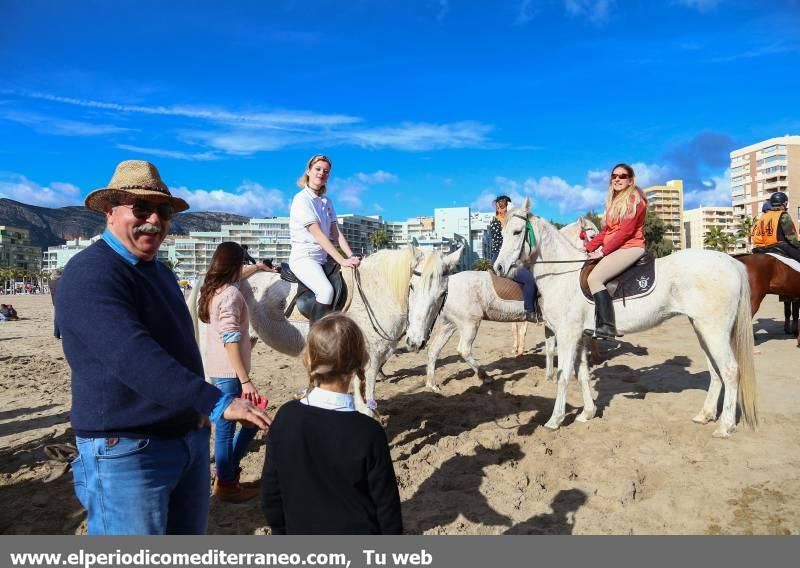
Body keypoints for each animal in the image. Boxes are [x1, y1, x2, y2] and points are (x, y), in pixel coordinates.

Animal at [188, 246, 462, 414]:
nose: (416, 341)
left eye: (442, 294)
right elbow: (367, 407)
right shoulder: (370, 362)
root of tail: (210, 277)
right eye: (412, 287)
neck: (374, 293)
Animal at [428, 217, 596, 390]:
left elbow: (549, 350)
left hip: (449, 324)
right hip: (469, 323)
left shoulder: (550, 325)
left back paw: (431, 384)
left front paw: (550, 377)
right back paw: (484, 376)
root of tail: (448, 282)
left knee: (434, 350)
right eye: (592, 234)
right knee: (464, 350)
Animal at [490, 200, 760, 440]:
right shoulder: (580, 336)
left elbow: (564, 375)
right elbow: (582, 374)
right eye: (502, 233)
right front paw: (588, 413)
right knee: (715, 370)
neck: (563, 274)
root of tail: (731, 262)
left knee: (729, 370)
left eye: (517, 232)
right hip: (703, 329)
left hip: (714, 331)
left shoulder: (567, 335)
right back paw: (705, 415)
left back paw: (725, 426)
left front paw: (555, 420)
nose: (499, 268)